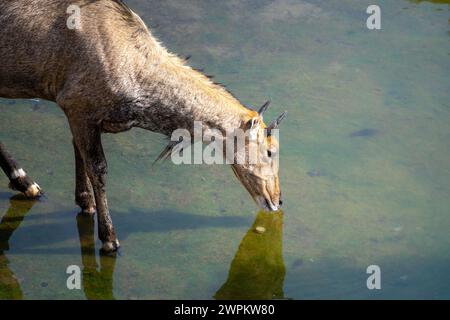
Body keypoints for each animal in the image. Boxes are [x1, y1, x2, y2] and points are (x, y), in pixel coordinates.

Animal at [0, 0, 286, 251]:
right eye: (270, 151)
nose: (277, 200)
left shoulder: (85, 117)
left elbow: (79, 153)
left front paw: (85, 203)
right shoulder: (76, 104)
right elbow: (98, 168)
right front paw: (109, 239)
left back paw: (26, 184)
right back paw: (27, 183)